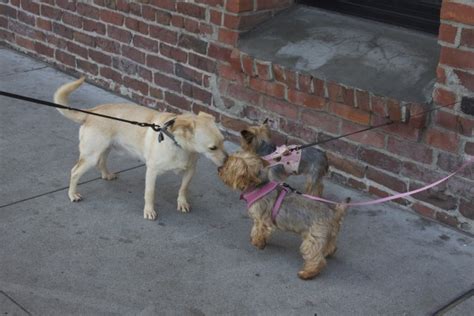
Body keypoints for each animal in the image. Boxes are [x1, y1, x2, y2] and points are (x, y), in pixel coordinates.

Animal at [53, 77, 228, 220]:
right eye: (212, 148)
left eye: (224, 141)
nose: (227, 161)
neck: (178, 145)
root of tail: (91, 112)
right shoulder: (151, 172)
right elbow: (150, 194)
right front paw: (149, 211)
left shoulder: (190, 171)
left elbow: (183, 188)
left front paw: (182, 202)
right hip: (91, 155)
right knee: (75, 172)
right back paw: (72, 194)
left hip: (105, 148)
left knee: (101, 162)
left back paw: (106, 175)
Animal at [218, 152, 348, 280]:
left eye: (227, 166)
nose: (219, 168)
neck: (258, 185)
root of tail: (334, 213)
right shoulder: (258, 219)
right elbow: (255, 228)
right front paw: (254, 238)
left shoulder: (263, 221)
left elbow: (259, 231)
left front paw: (257, 243)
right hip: (329, 235)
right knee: (331, 247)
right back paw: (327, 252)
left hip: (314, 238)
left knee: (316, 258)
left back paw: (307, 273)